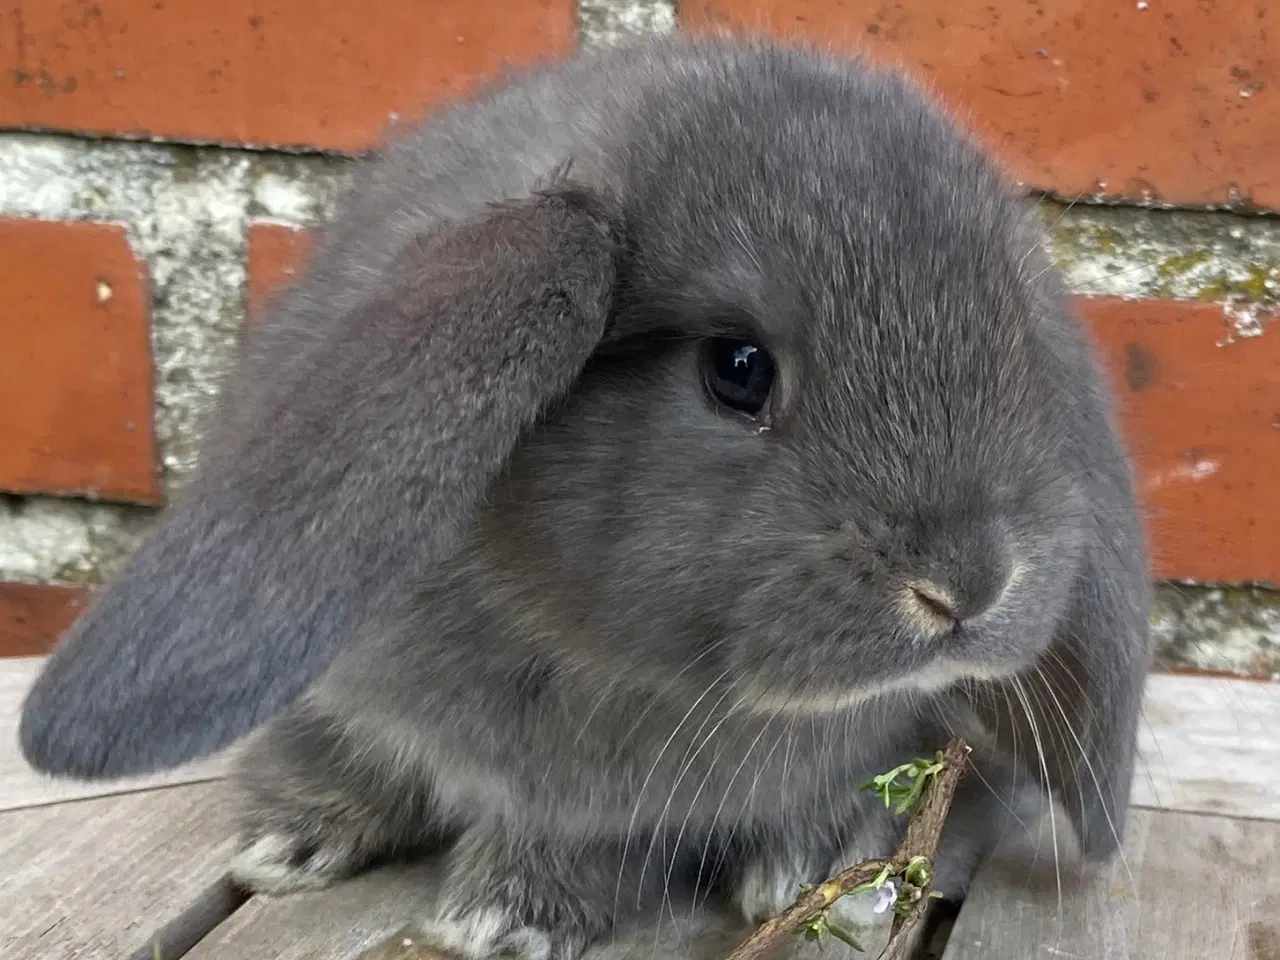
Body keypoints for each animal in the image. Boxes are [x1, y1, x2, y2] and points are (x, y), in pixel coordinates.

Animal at [17, 30, 1152, 960]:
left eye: (1016, 354)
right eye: (736, 368)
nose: (967, 588)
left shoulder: (617, 812)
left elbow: (588, 847)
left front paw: (500, 918)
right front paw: (284, 835)